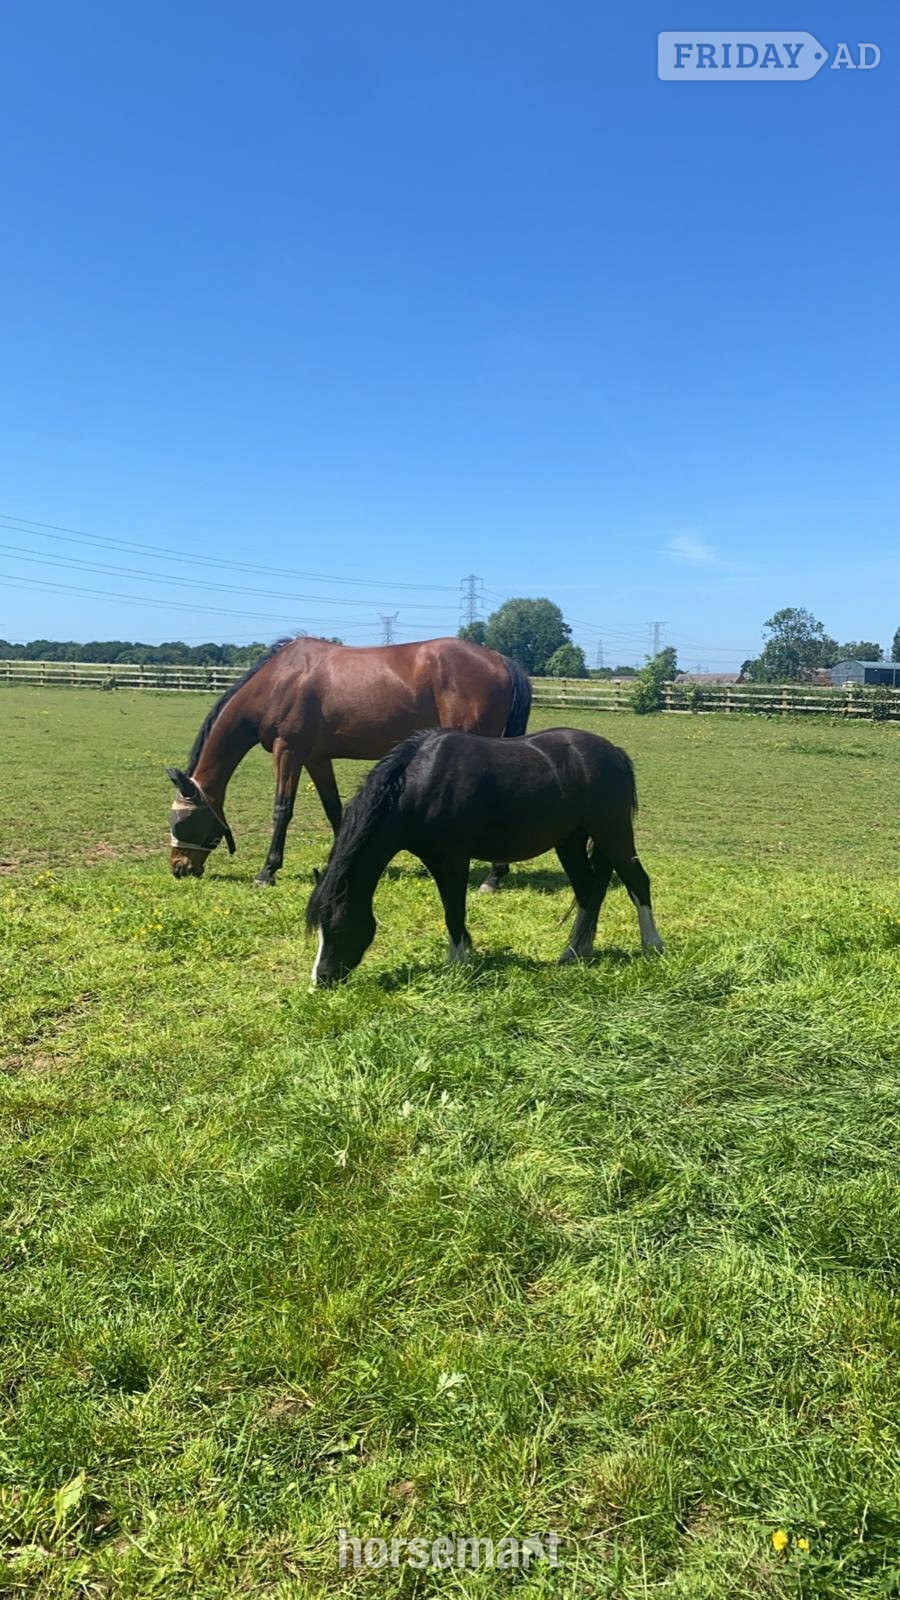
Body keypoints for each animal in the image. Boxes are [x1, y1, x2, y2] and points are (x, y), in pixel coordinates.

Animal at [166, 635, 531, 889]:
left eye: (181, 822)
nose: (179, 868)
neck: (278, 681)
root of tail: (499, 659)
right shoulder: (316, 759)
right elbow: (335, 810)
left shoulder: (289, 753)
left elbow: (282, 810)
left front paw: (267, 872)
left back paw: (493, 877)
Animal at [305, 726, 664, 986]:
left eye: (335, 927)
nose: (320, 980)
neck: (419, 783)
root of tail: (615, 753)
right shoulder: (434, 860)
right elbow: (449, 906)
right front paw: (463, 952)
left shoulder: (455, 858)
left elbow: (455, 910)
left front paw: (456, 964)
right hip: (570, 842)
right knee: (588, 891)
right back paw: (575, 952)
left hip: (612, 831)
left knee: (637, 882)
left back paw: (652, 946)